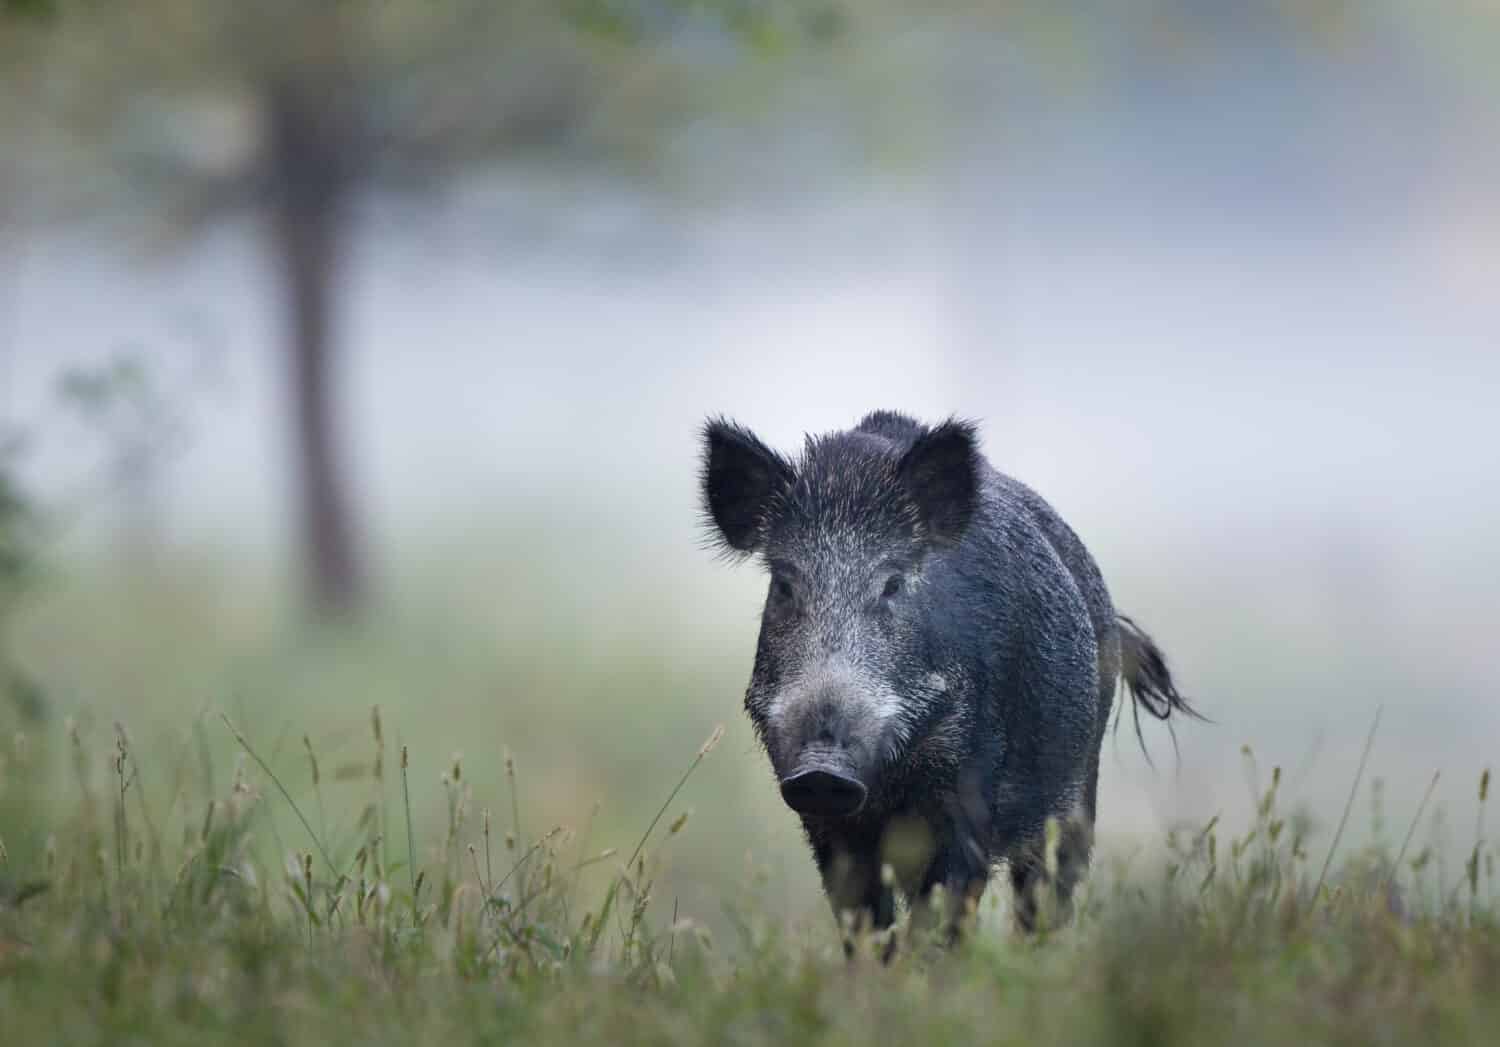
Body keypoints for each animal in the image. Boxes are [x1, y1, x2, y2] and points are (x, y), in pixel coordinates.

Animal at [699, 410, 1199, 944]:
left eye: (893, 584)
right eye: (784, 586)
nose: (822, 769)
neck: (889, 780)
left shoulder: (971, 786)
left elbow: (945, 909)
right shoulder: (825, 823)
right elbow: (863, 922)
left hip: (1077, 791)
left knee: (1046, 897)